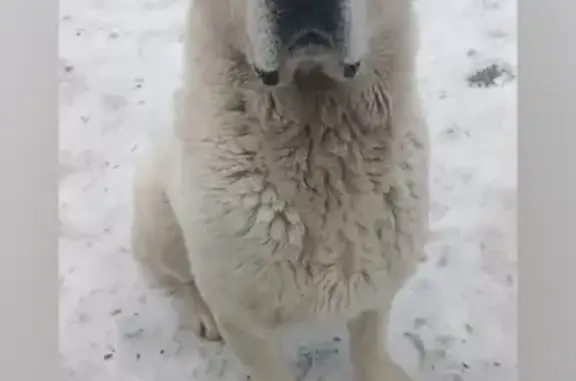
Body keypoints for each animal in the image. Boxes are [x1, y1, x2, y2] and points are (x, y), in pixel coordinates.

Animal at [130, 0, 428, 380]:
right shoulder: (245, 325)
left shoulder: (379, 288)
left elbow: (369, 347)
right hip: (160, 226)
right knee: (176, 282)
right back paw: (201, 314)